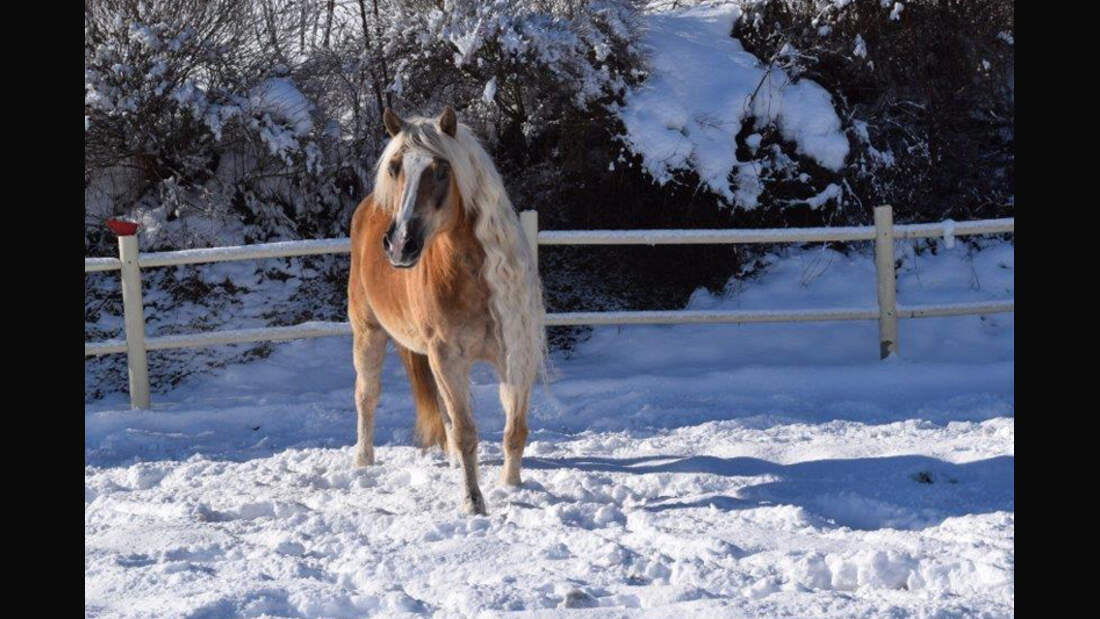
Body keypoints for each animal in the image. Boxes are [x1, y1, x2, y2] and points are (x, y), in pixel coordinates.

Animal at [347, 107, 545, 518]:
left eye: (441, 170)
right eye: (394, 167)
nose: (400, 244)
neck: (470, 276)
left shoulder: (512, 355)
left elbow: (513, 428)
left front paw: (511, 485)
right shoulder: (447, 356)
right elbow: (467, 431)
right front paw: (473, 502)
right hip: (368, 333)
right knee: (366, 396)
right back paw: (363, 460)